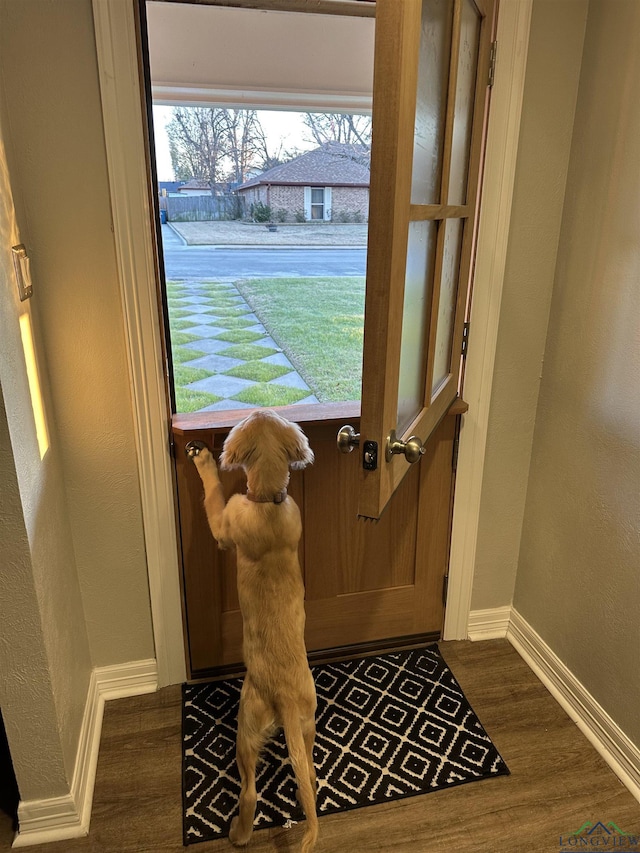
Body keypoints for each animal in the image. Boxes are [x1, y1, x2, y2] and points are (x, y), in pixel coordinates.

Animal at [189, 410, 318, 848]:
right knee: (308, 770)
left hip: (246, 724)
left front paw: (203, 461)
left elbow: (213, 498)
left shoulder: (223, 524)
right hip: (308, 723)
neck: (268, 502)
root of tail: (285, 698)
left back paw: (238, 833)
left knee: (249, 791)